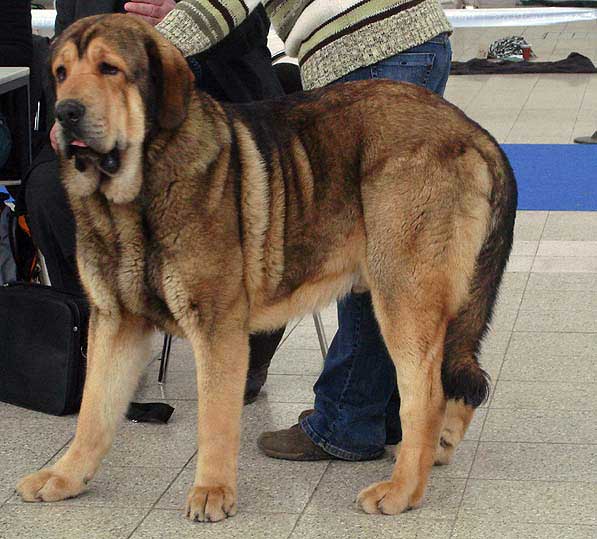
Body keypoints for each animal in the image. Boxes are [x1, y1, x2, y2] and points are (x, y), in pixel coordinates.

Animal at [16, 14, 516, 524]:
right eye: (60, 73)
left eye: (110, 69)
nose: (65, 113)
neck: (134, 199)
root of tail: (472, 131)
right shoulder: (116, 321)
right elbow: (93, 411)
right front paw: (65, 477)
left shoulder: (216, 327)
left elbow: (215, 419)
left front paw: (212, 491)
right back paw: (438, 448)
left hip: (403, 296)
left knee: (426, 397)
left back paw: (402, 489)